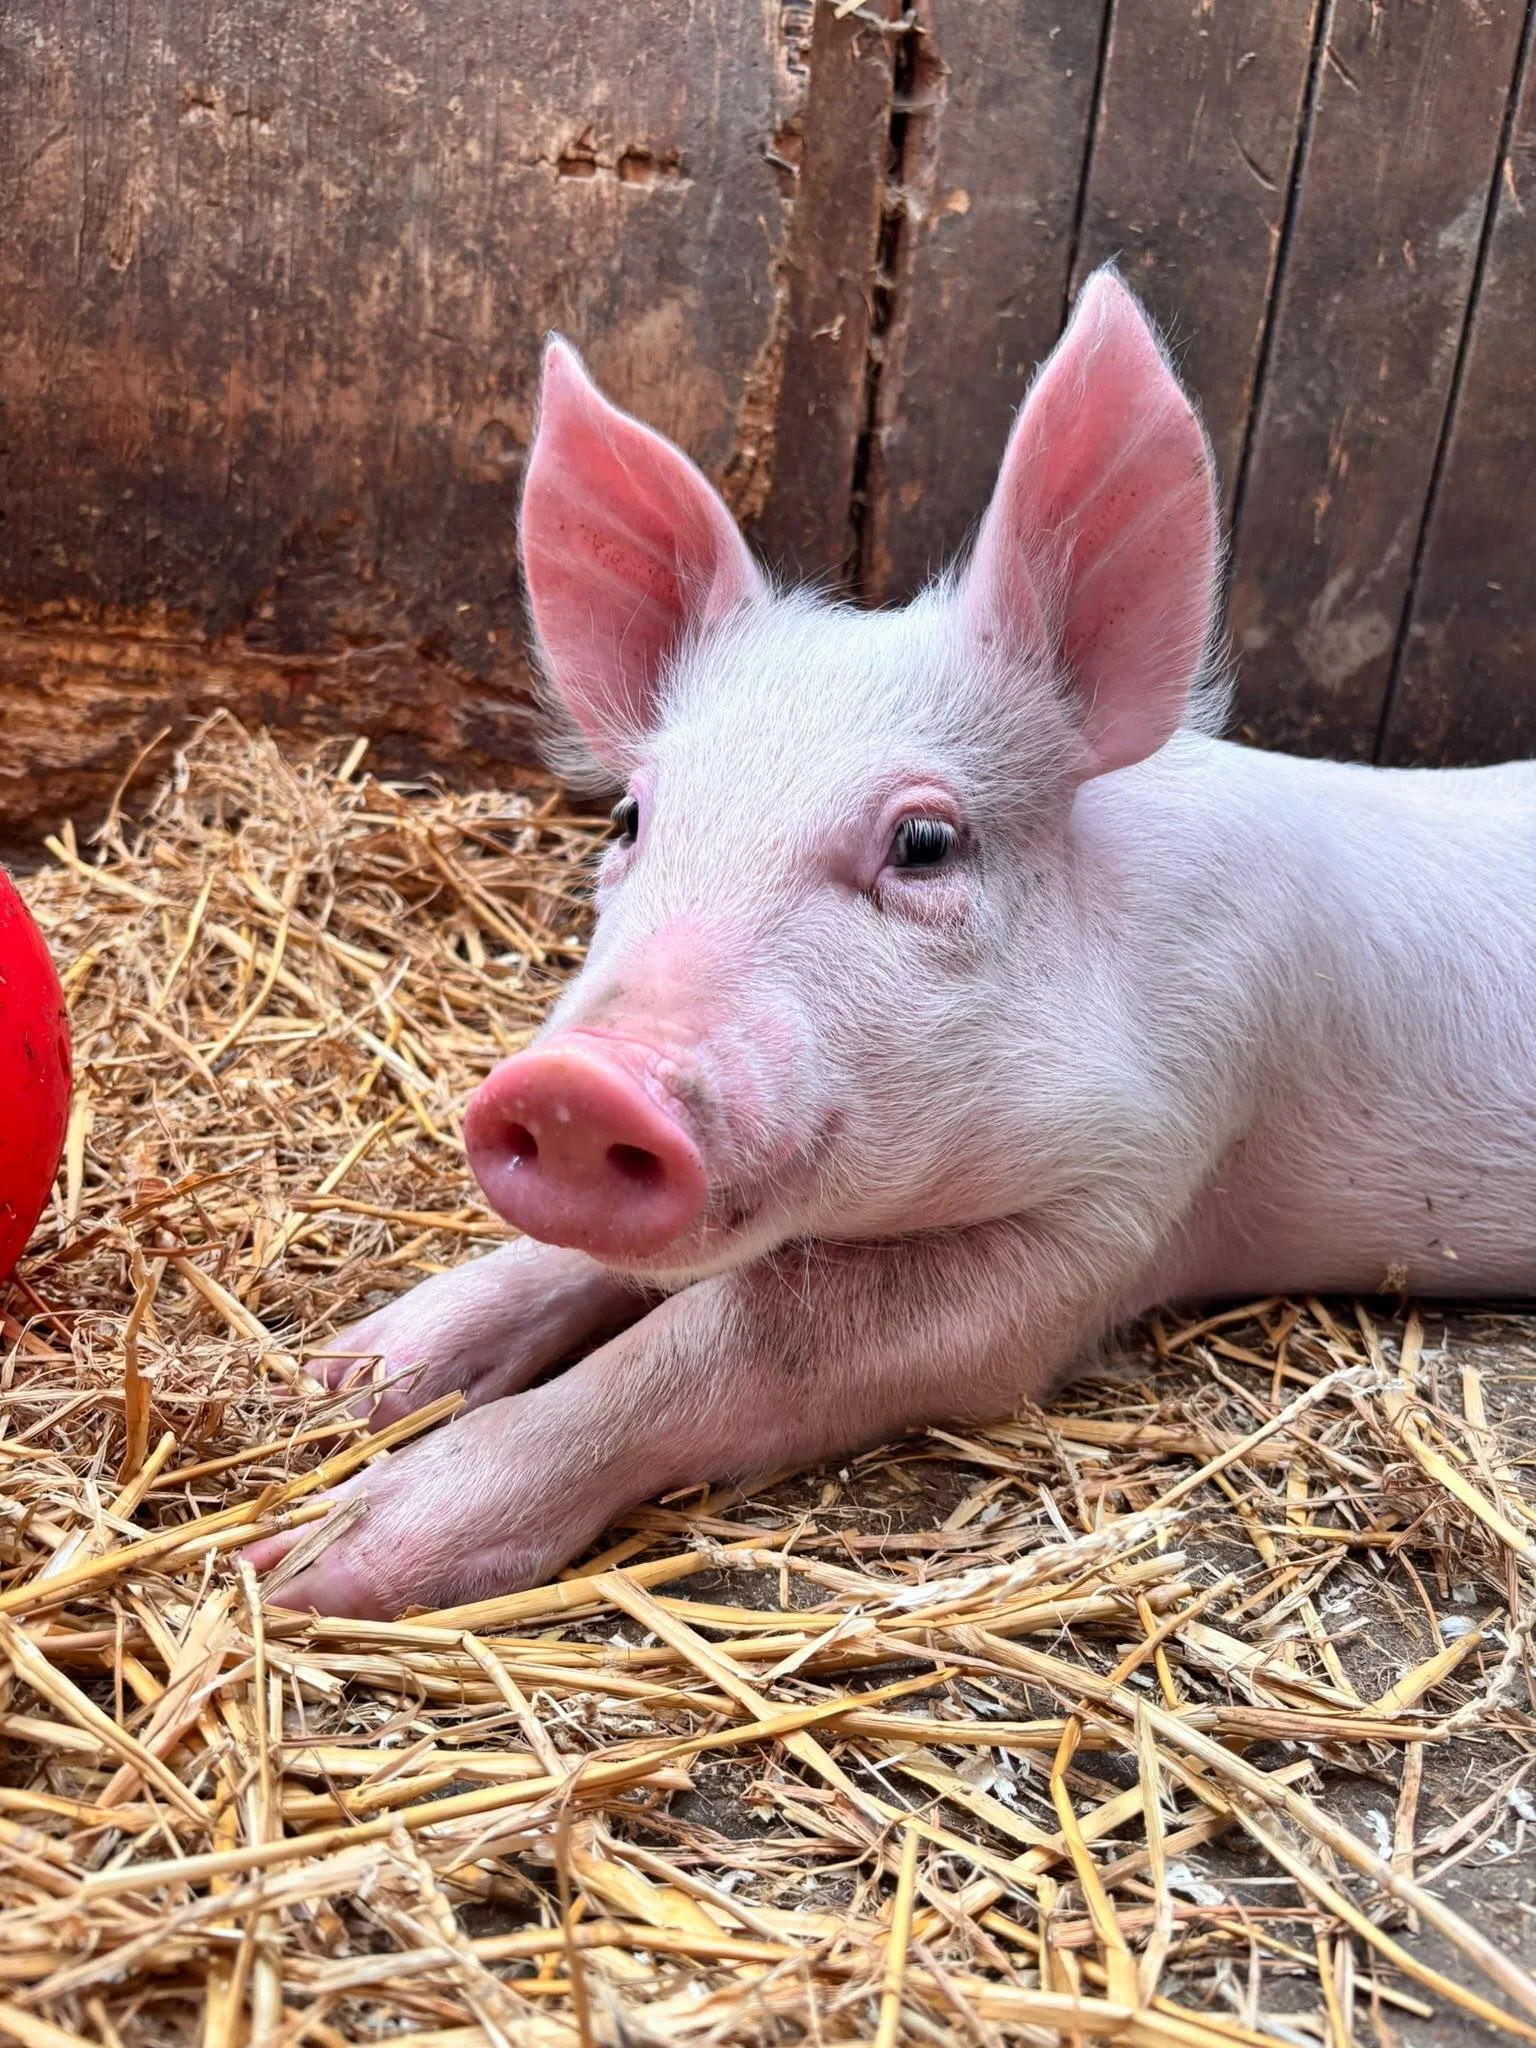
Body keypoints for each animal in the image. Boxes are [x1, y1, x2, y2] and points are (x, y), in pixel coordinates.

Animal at [248, 269, 1536, 1619]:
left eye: (925, 842)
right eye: (631, 819)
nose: (571, 1085)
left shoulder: (1125, 1194)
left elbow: (735, 1335)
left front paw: (301, 1563)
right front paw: (330, 1378)